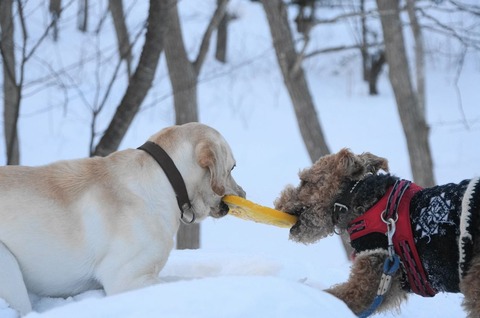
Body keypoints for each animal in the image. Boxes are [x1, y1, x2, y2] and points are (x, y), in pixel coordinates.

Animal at [276, 150, 480, 318]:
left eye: (305, 181)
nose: (278, 204)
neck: (356, 198)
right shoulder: (389, 285)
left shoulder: (369, 276)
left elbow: (335, 296)